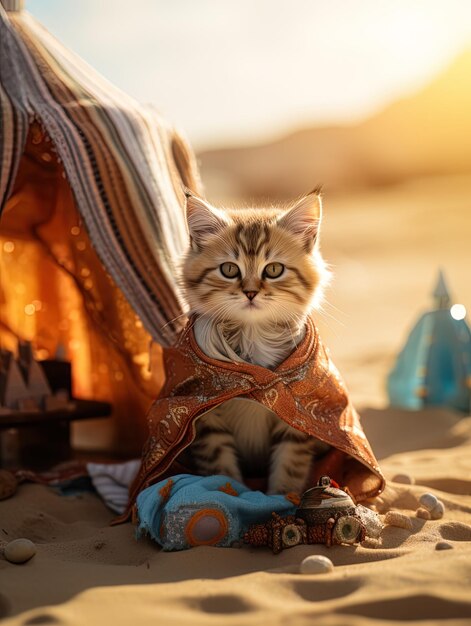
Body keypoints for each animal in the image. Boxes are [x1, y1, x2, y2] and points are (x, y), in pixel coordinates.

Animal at [181, 190, 332, 492]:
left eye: (273, 269)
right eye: (229, 269)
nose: (250, 292)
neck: (253, 335)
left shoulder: (296, 420)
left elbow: (288, 467)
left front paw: (282, 498)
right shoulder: (206, 419)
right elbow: (221, 468)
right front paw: (230, 494)